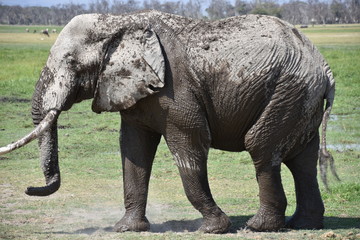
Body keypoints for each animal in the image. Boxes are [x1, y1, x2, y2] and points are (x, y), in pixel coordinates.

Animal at [0, 10, 338, 233]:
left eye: (71, 62)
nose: (30, 189)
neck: (119, 21)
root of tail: (324, 66)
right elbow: (133, 150)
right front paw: (126, 229)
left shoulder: (177, 89)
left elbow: (189, 142)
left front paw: (213, 228)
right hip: (298, 96)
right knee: (302, 158)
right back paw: (304, 224)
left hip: (288, 89)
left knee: (261, 146)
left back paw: (259, 226)